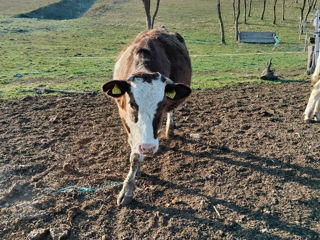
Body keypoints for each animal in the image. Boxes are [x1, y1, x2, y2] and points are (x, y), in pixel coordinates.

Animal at [103, 27, 192, 205]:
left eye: (162, 104)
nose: (148, 148)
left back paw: (169, 129)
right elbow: (134, 150)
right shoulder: (123, 115)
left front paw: (128, 189)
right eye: (132, 104)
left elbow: (136, 156)